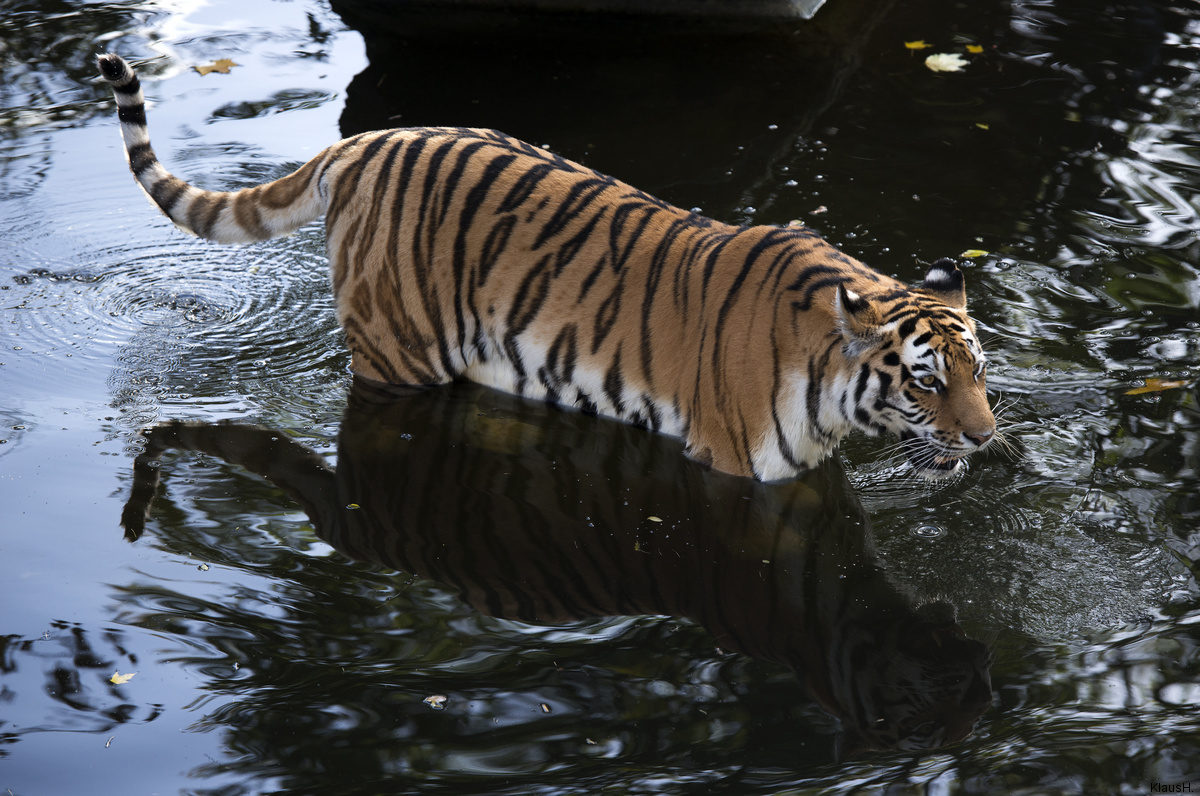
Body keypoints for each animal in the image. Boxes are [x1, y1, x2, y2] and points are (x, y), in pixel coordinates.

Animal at [96, 54, 993, 485]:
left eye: (979, 372)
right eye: (924, 382)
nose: (986, 437)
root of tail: (365, 142)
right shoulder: (739, 472)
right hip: (396, 356)